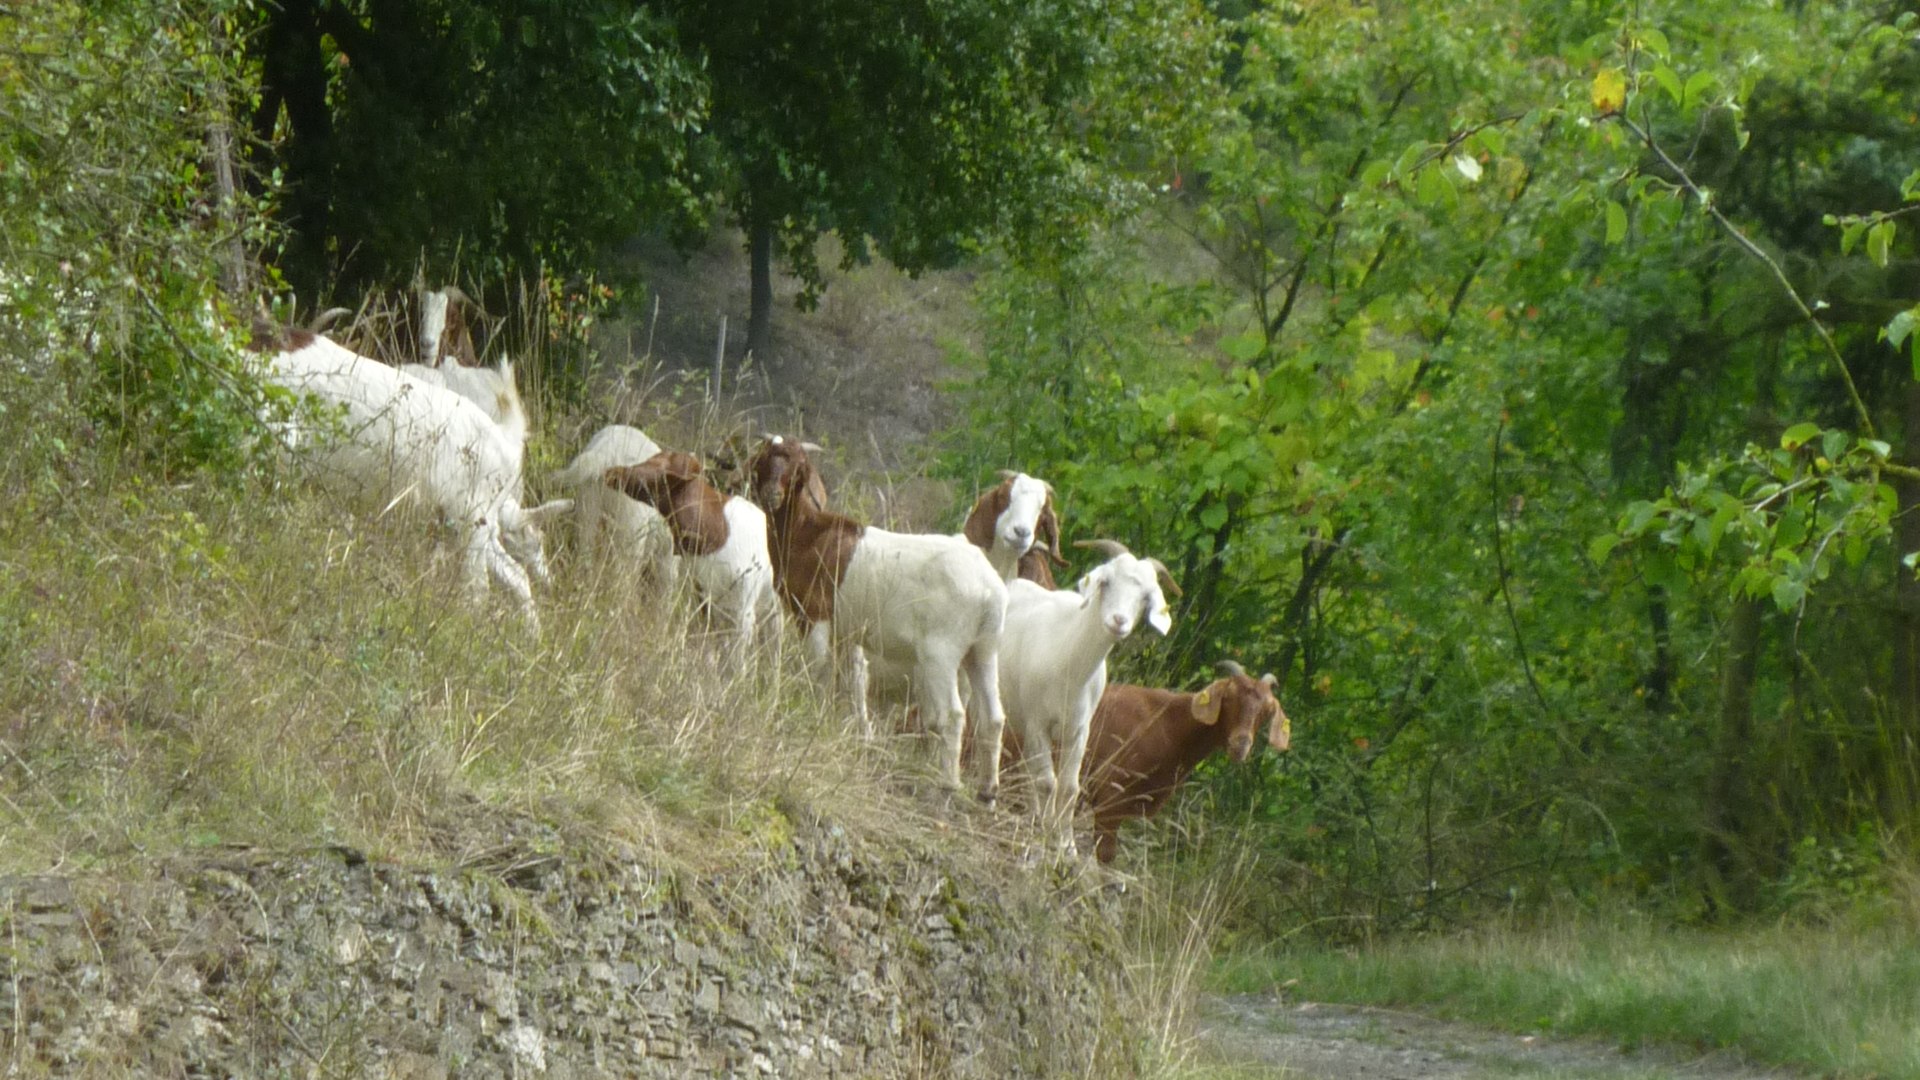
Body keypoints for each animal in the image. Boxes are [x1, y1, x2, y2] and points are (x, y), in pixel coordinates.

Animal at [749, 436, 1007, 798]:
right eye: (763, 459)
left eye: (798, 467)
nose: (771, 494)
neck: (806, 534)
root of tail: (989, 589)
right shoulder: (850, 630)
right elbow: (857, 679)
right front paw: (861, 733)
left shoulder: (814, 615)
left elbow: (821, 672)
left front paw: (814, 716)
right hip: (984, 647)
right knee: (994, 717)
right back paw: (987, 791)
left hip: (941, 651)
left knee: (953, 715)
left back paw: (947, 783)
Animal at [998, 538, 1179, 855]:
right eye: (1106, 581)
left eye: (1146, 597)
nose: (1119, 621)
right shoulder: (1038, 723)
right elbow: (1049, 782)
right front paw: (1045, 833)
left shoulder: (1078, 730)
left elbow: (1070, 786)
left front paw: (1066, 844)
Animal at [1083, 660, 1290, 864]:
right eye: (1228, 697)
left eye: (1268, 711)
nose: (1240, 745)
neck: (1166, 723)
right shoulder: (1109, 794)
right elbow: (1105, 854)